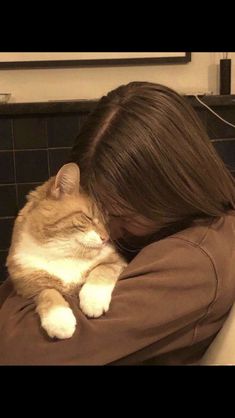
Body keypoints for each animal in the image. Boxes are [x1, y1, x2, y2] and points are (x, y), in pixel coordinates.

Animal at [6, 162, 127, 340]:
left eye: (106, 223)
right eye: (88, 218)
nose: (105, 238)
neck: (63, 253)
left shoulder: (116, 261)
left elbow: (101, 270)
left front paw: (93, 300)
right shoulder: (29, 287)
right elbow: (48, 293)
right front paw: (59, 320)